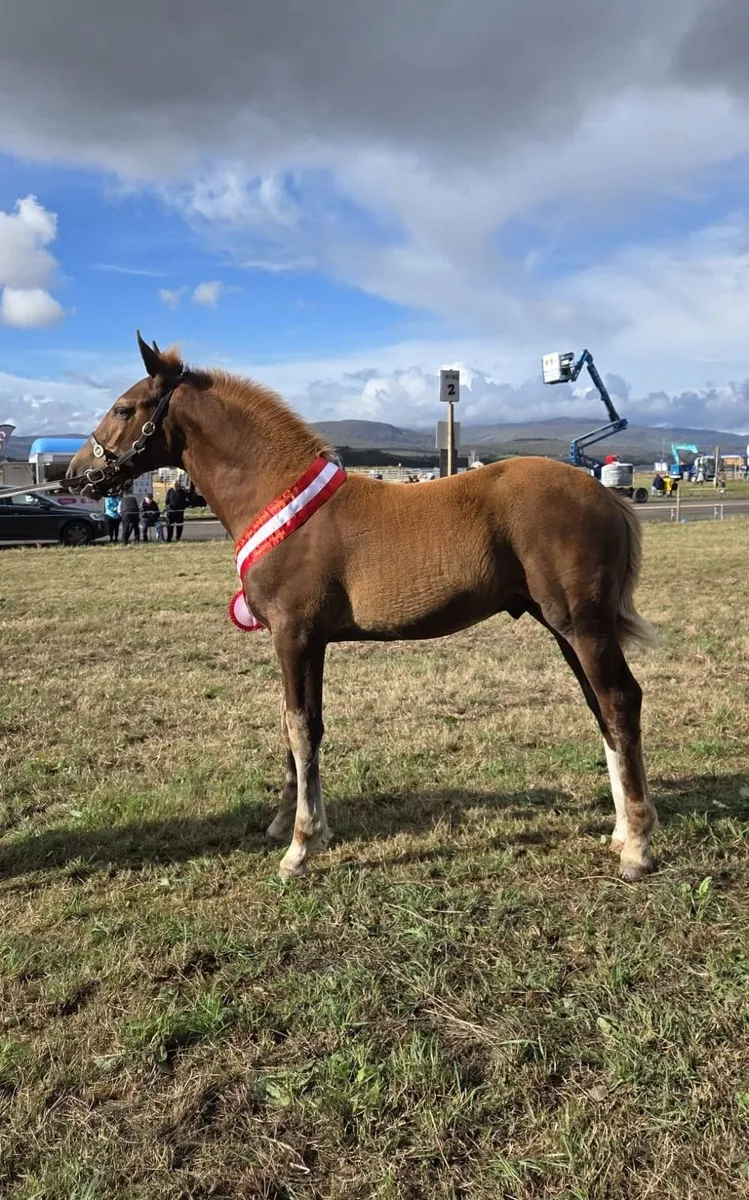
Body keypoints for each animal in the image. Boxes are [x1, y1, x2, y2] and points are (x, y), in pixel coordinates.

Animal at [66, 333, 659, 884]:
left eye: (124, 408)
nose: (73, 474)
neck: (281, 499)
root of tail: (607, 496)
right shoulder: (305, 642)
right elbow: (298, 725)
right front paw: (286, 825)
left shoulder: (294, 635)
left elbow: (300, 726)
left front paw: (300, 847)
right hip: (566, 628)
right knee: (601, 707)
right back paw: (619, 831)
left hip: (581, 623)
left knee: (620, 701)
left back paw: (636, 847)